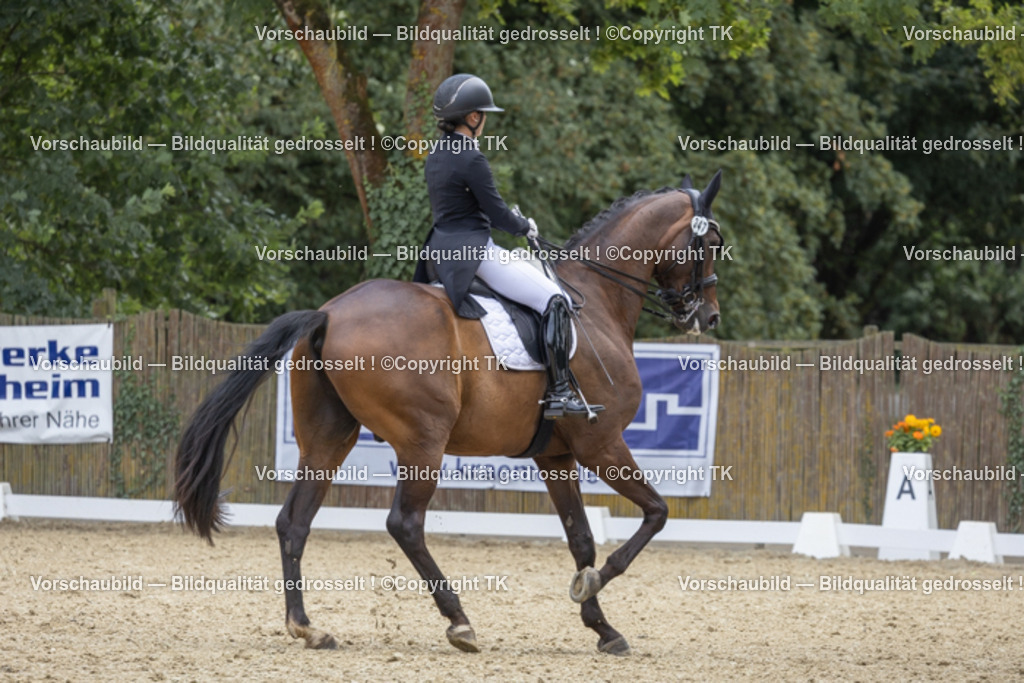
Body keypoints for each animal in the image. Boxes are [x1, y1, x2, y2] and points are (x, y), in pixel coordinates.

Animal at [174, 171, 724, 656]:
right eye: (713, 244)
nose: (709, 316)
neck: (598, 301)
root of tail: (328, 313)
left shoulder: (556, 456)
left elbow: (582, 538)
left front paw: (601, 626)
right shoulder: (601, 443)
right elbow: (656, 513)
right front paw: (592, 587)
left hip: (328, 439)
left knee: (294, 521)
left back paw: (308, 627)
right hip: (424, 441)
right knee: (405, 524)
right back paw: (459, 622)